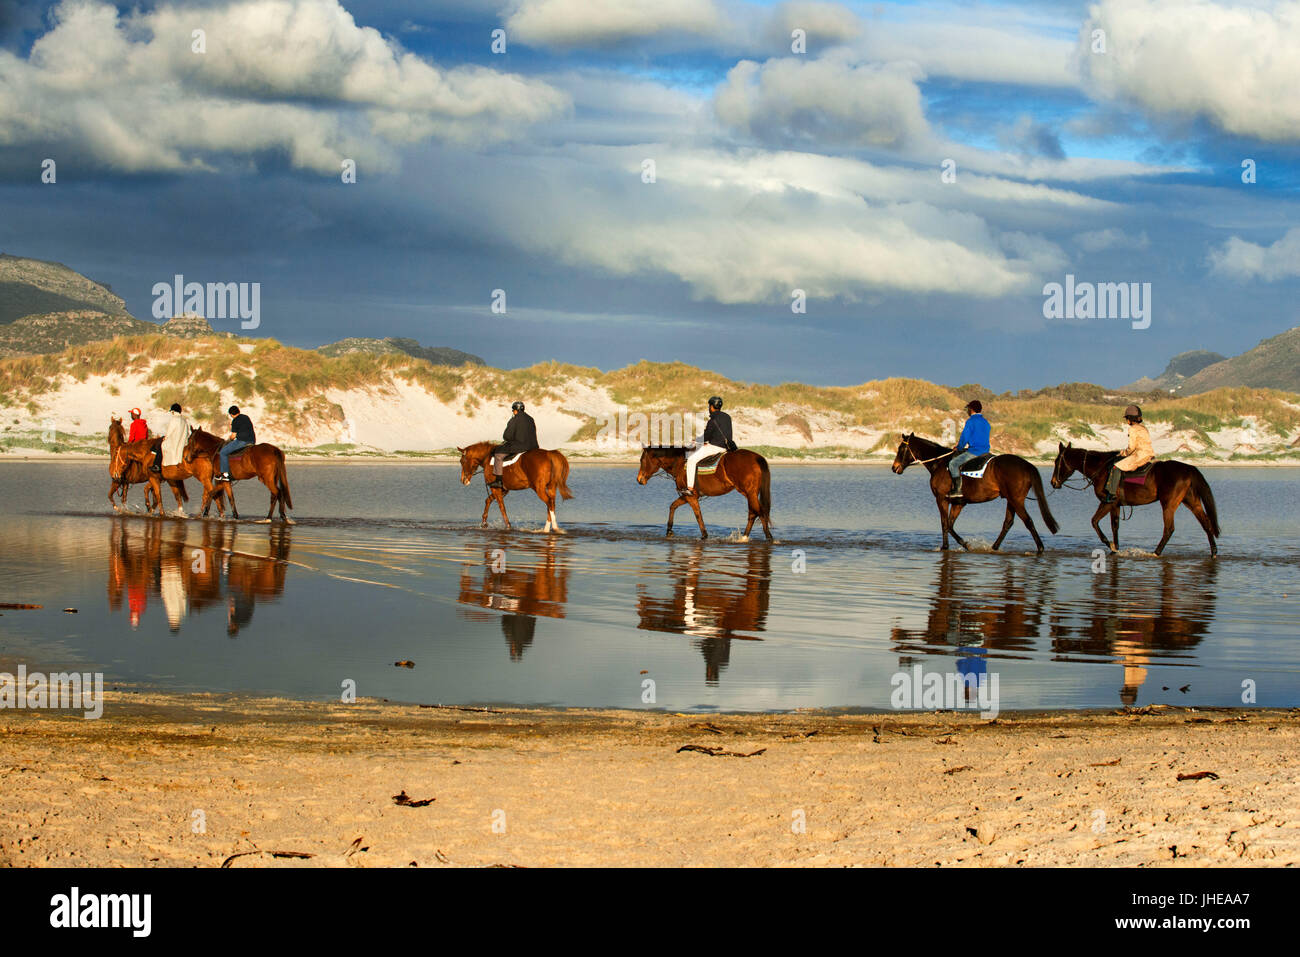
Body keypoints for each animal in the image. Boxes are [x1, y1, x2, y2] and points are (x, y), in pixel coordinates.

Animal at [637, 447, 769, 540]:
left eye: (641, 460)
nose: (639, 479)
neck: (679, 464)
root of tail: (756, 457)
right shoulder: (687, 496)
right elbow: (673, 506)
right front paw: (669, 530)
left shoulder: (691, 496)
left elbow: (698, 515)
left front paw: (704, 535)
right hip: (750, 494)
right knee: (754, 512)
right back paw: (745, 536)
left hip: (749, 493)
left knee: (759, 512)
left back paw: (768, 537)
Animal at [889, 434, 1060, 553]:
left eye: (901, 449)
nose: (894, 467)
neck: (940, 463)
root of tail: (1026, 465)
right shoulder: (959, 503)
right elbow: (950, 525)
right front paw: (964, 545)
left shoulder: (941, 499)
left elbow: (944, 524)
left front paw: (950, 546)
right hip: (1011, 500)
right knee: (1008, 523)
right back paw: (994, 547)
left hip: (1016, 500)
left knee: (1028, 521)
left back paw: (1040, 548)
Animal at [1045, 444, 1216, 556]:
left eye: (1056, 461)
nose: (1053, 482)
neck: (1101, 469)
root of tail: (1188, 468)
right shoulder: (1115, 505)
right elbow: (1115, 526)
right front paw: (1116, 548)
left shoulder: (1107, 502)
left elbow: (1094, 521)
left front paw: (1110, 544)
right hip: (1192, 502)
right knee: (1206, 524)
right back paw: (1214, 552)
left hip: (1168, 504)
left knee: (1169, 529)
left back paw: (1156, 553)